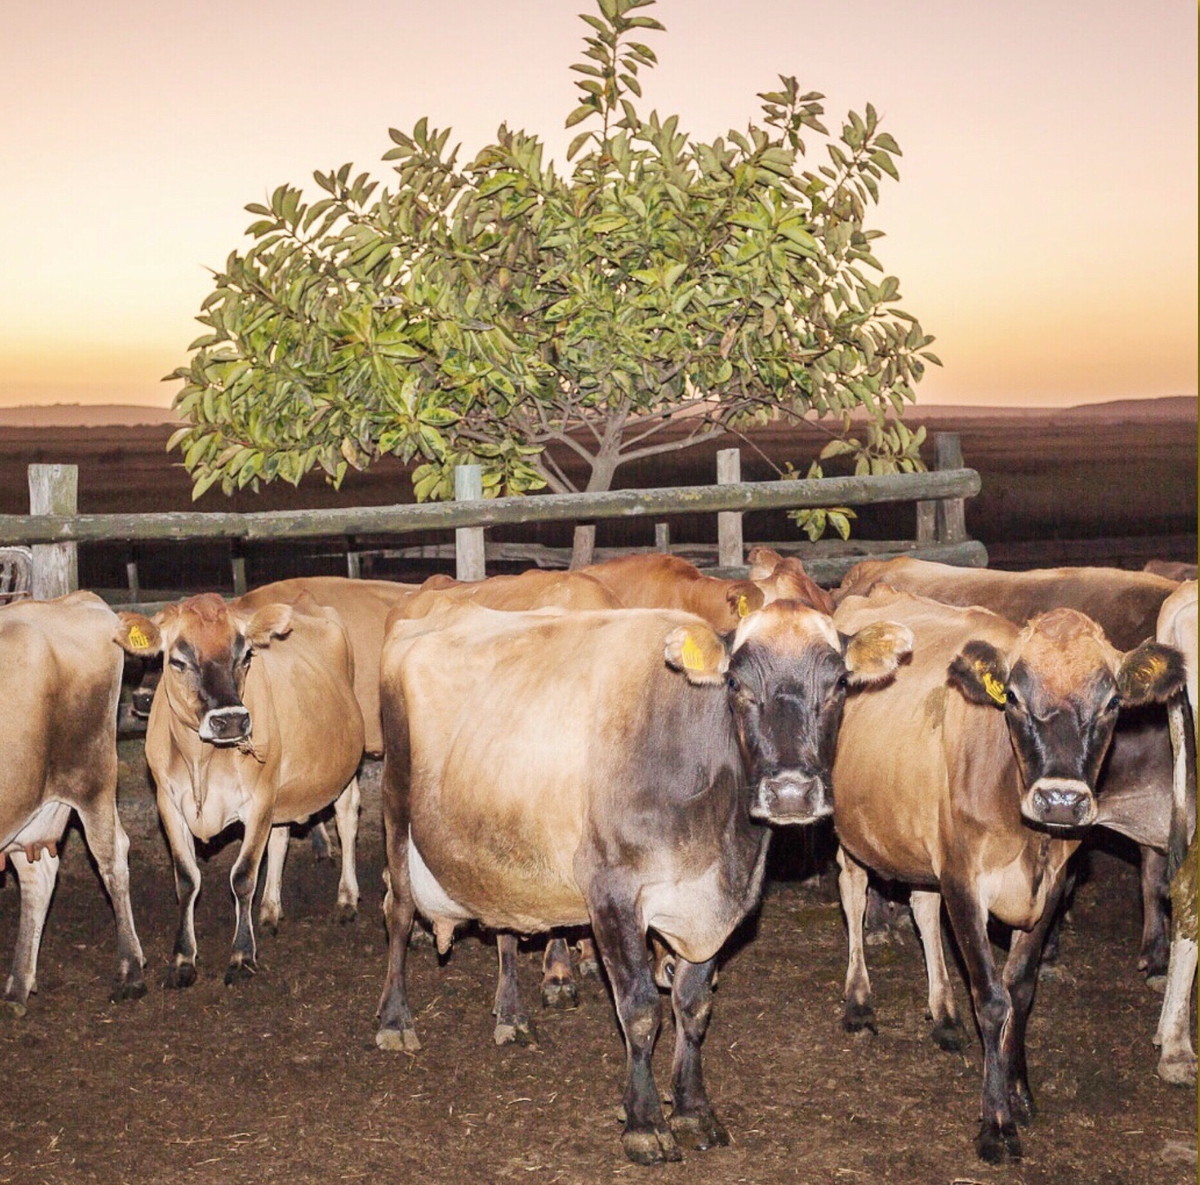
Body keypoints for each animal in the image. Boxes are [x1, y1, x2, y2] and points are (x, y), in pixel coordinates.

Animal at [0, 592, 145, 1007]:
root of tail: (75, 600)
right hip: (30, 798)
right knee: (38, 875)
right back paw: (19, 985)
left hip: (91, 777)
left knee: (112, 856)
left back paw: (130, 972)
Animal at [121, 587, 367, 988]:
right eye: (177, 660)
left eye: (246, 654)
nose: (232, 720)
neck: (202, 761)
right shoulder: (168, 804)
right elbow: (186, 880)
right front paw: (183, 959)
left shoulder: (259, 799)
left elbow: (243, 876)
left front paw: (241, 954)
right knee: (281, 836)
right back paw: (269, 910)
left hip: (344, 766)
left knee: (346, 819)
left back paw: (346, 899)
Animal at [374, 597, 907, 1161]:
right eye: (736, 684)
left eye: (839, 684)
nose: (789, 792)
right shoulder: (611, 893)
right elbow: (641, 1009)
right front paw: (645, 1121)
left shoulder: (709, 906)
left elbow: (692, 1006)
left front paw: (693, 1110)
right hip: (396, 806)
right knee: (398, 913)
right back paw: (395, 1020)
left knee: (502, 929)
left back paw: (511, 1015)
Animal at [830, 587, 1185, 1161]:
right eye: (1014, 698)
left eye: (1112, 703)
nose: (1060, 799)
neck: (1028, 835)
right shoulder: (963, 880)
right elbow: (992, 998)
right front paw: (995, 1123)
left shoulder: (1052, 884)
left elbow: (1020, 991)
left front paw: (1020, 1092)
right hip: (850, 828)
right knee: (854, 892)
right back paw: (859, 1003)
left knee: (922, 907)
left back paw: (944, 1013)